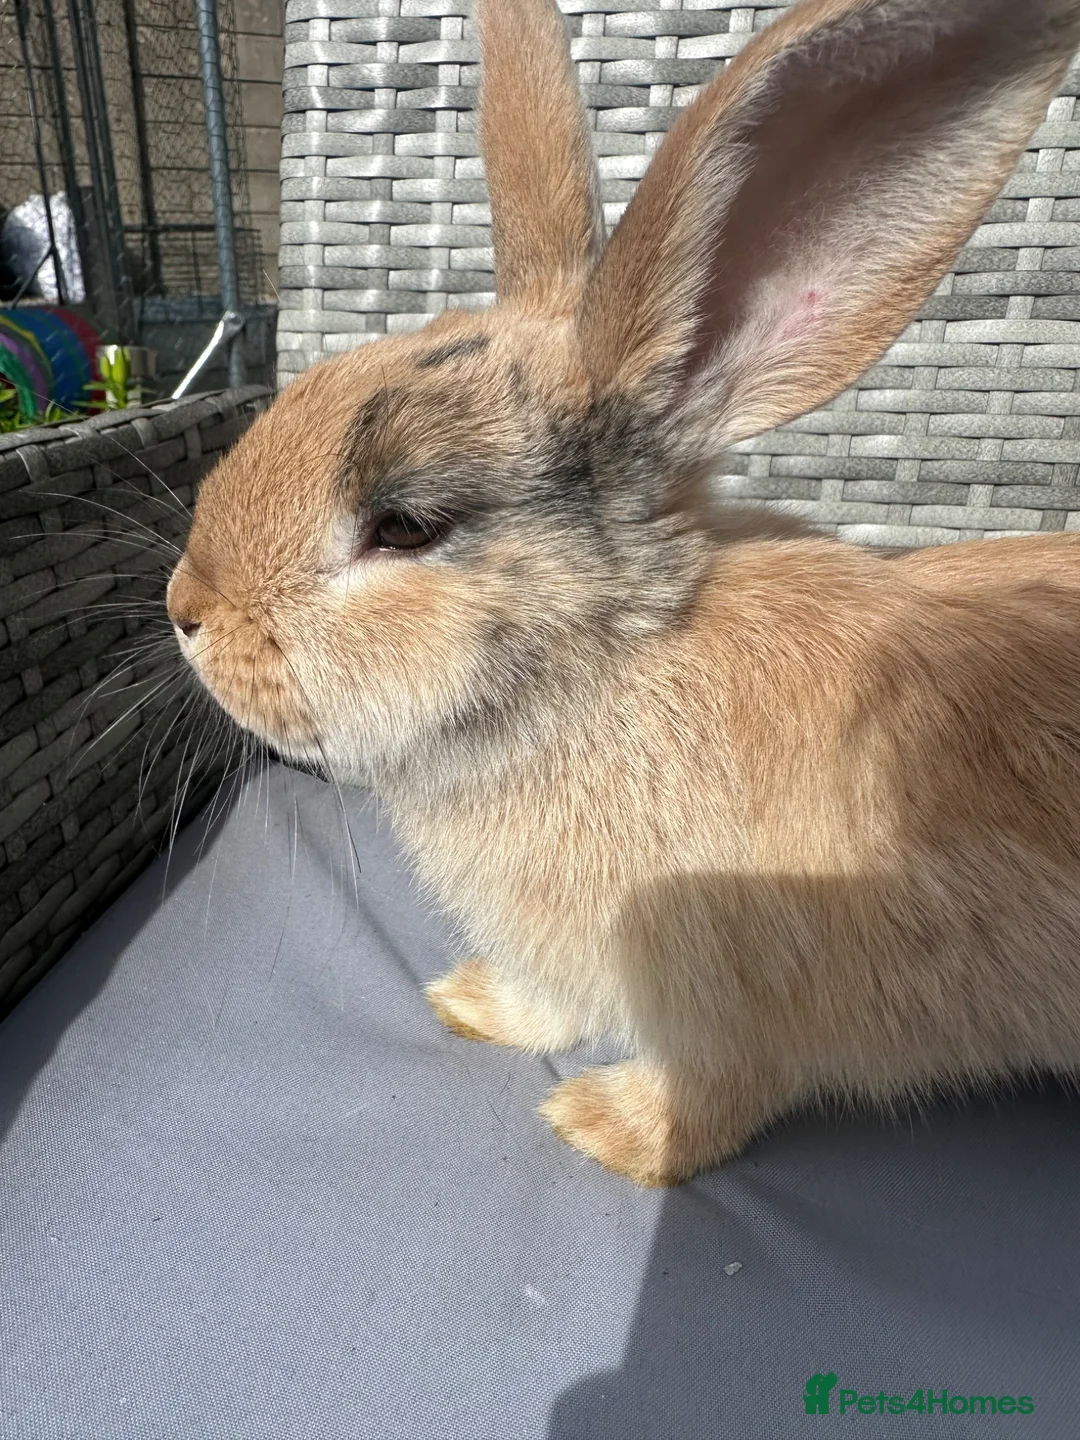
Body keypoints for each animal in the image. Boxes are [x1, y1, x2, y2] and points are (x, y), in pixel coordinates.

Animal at [168, 0, 1080, 1186]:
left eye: (407, 524)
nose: (185, 610)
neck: (603, 673)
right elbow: (547, 1001)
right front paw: (474, 1002)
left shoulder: (738, 1014)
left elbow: (709, 1098)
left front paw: (603, 1130)